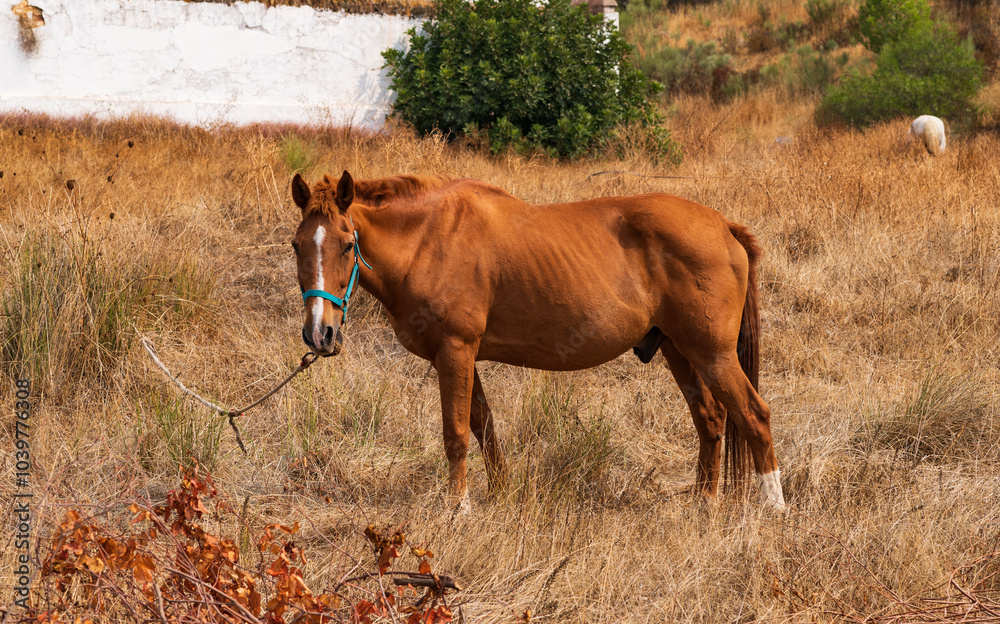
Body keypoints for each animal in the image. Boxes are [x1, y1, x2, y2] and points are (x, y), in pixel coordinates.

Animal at [289, 171, 786, 511]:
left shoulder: (455, 350)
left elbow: (456, 433)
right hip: (678, 350)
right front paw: (500, 496)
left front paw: (459, 508)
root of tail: (722, 225)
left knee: (754, 415)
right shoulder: (460, 357)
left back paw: (773, 506)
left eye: (347, 245)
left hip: (712, 354)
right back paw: (704, 503)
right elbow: (484, 428)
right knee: (710, 419)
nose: (320, 333)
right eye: (296, 245)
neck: (430, 238)